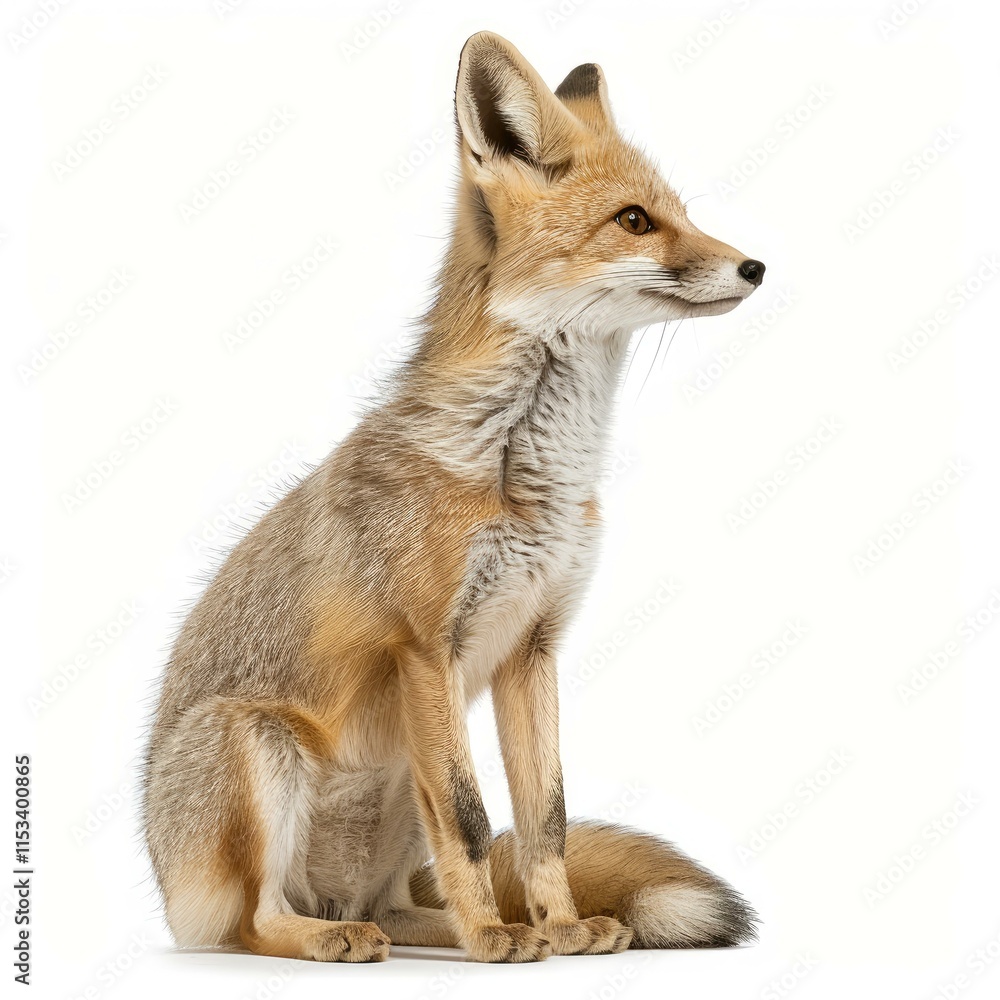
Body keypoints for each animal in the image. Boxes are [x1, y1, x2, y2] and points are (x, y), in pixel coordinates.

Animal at [143, 30, 765, 964]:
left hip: (401, 786)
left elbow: (543, 822)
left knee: (401, 907)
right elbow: (473, 822)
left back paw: (458, 927)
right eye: (635, 221)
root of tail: (166, 890)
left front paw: (558, 926)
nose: (756, 266)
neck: (531, 473)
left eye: (680, 215)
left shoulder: (532, 648)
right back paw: (353, 936)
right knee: (256, 922)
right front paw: (504, 941)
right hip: (260, 742)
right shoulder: (423, 647)